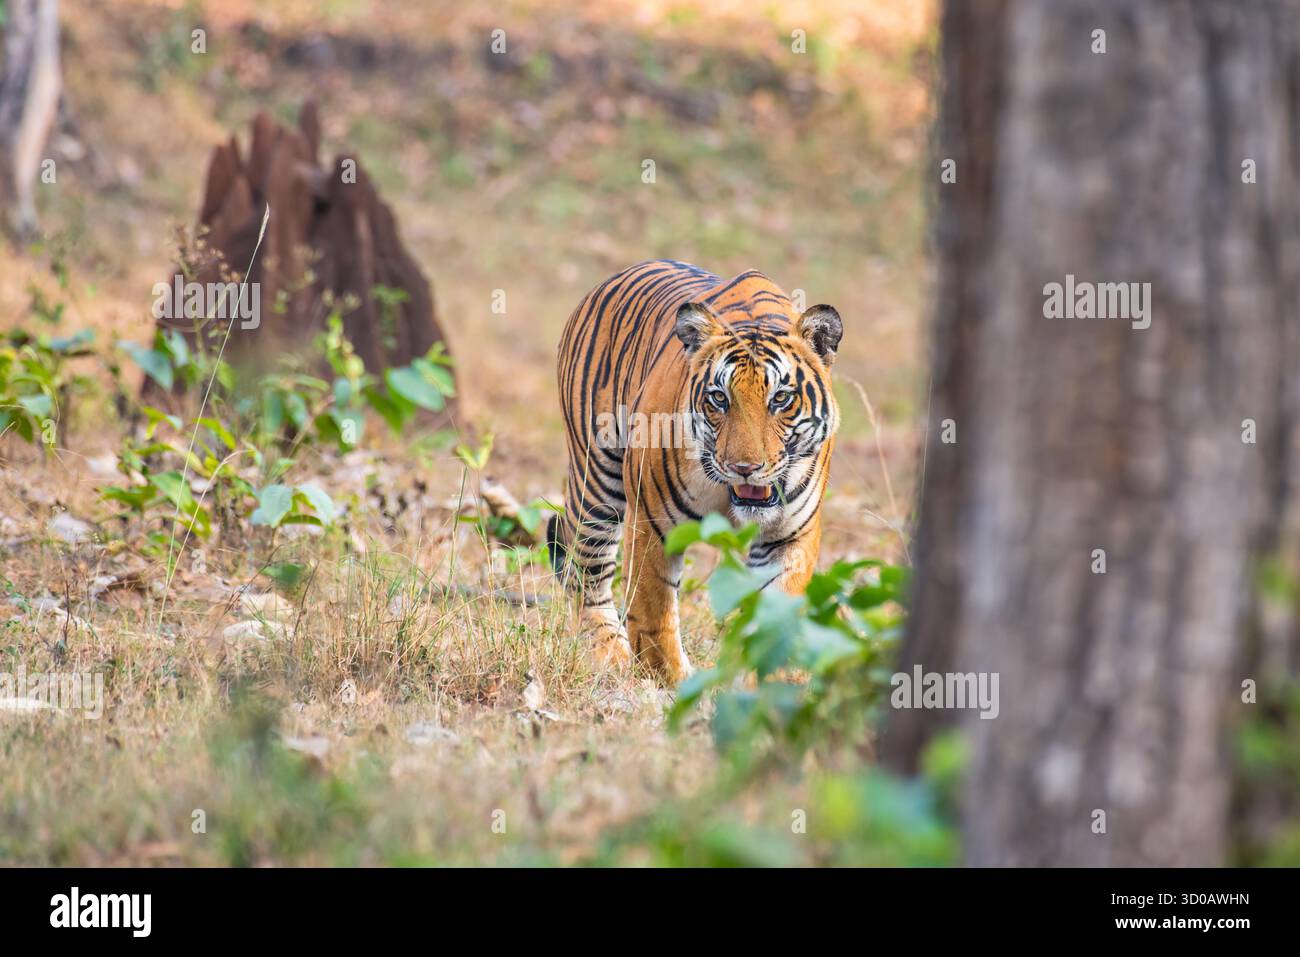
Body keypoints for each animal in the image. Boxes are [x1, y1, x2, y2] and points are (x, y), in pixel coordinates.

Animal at [548, 259, 843, 684]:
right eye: (719, 398)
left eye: (781, 398)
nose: (744, 468)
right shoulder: (652, 523)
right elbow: (654, 616)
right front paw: (672, 684)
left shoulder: (790, 536)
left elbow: (773, 620)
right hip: (597, 479)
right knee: (586, 570)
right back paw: (610, 657)